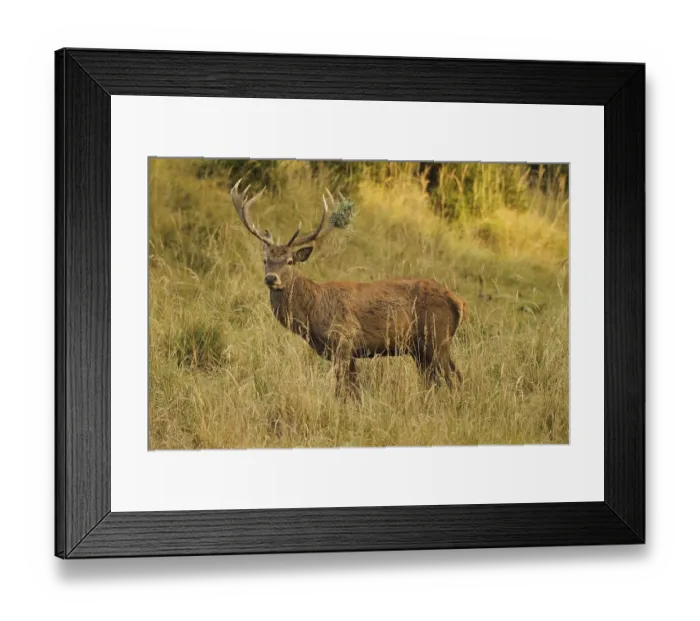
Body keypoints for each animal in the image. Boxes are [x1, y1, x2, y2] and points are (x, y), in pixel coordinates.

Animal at [230, 179, 468, 398]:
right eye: (265, 260)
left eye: (290, 261)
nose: (271, 278)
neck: (312, 312)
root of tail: (458, 301)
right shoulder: (348, 351)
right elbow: (354, 390)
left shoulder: (343, 338)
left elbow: (341, 389)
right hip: (421, 349)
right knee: (436, 380)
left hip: (437, 337)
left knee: (454, 378)